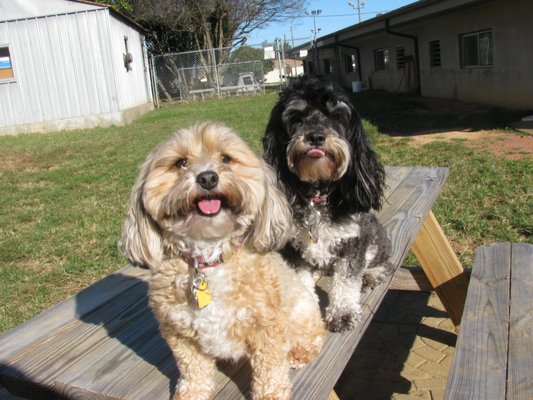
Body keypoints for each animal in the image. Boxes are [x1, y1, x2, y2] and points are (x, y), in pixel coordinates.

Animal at [119, 122, 324, 400]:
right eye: (180, 162)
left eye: (226, 158)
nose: (207, 178)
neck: (209, 258)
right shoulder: (180, 335)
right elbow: (193, 370)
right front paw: (192, 393)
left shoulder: (267, 330)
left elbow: (270, 371)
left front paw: (270, 394)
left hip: (302, 312)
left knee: (313, 336)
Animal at [262, 76, 392, 332]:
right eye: (297, 117)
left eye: (335, 115)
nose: (315, 136)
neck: (316, 194)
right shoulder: (292, 248)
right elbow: (301, 281)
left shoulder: (353, 242)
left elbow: (346, 282)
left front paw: (343, 313)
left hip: (374, 237)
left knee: (382, 262)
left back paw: (372, 275)